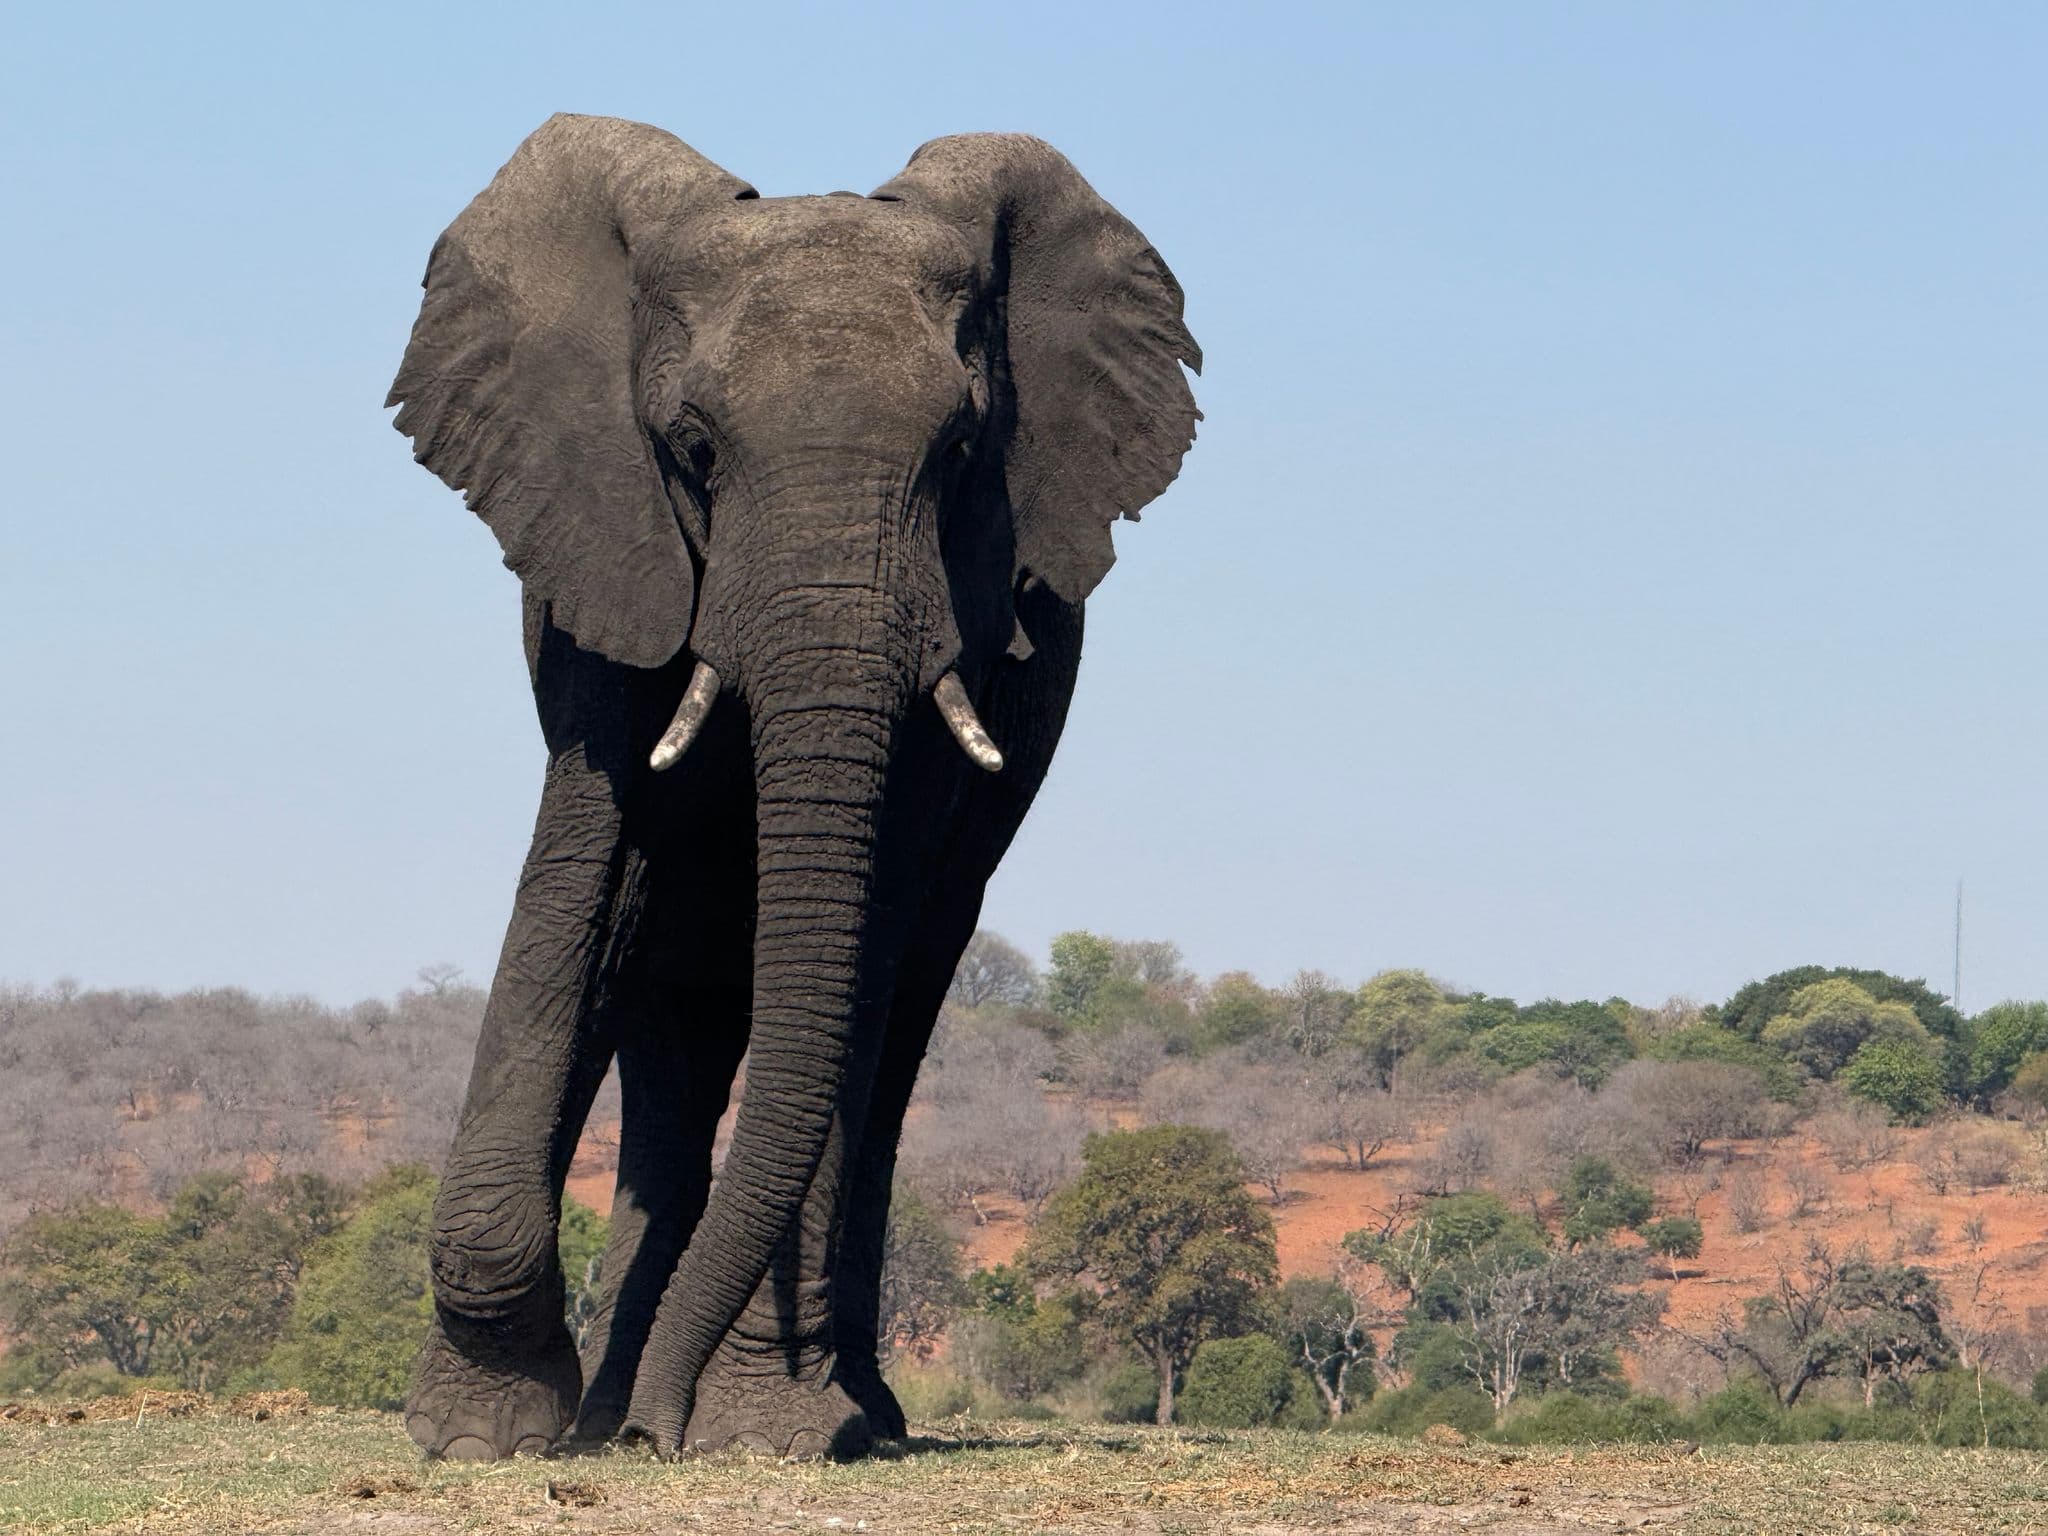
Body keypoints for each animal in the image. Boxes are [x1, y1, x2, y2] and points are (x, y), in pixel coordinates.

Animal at [385, 114, 1200, 1461]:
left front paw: (760, 1429)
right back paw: (615, 1406)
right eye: (694, 450)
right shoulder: (607, 553)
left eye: (960, 453)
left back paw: (832, 1410)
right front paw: (484, 1431)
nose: (658, 1436)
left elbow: (859, 941)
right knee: (673, 1039)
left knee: (891, 1020)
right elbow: (585, 889)